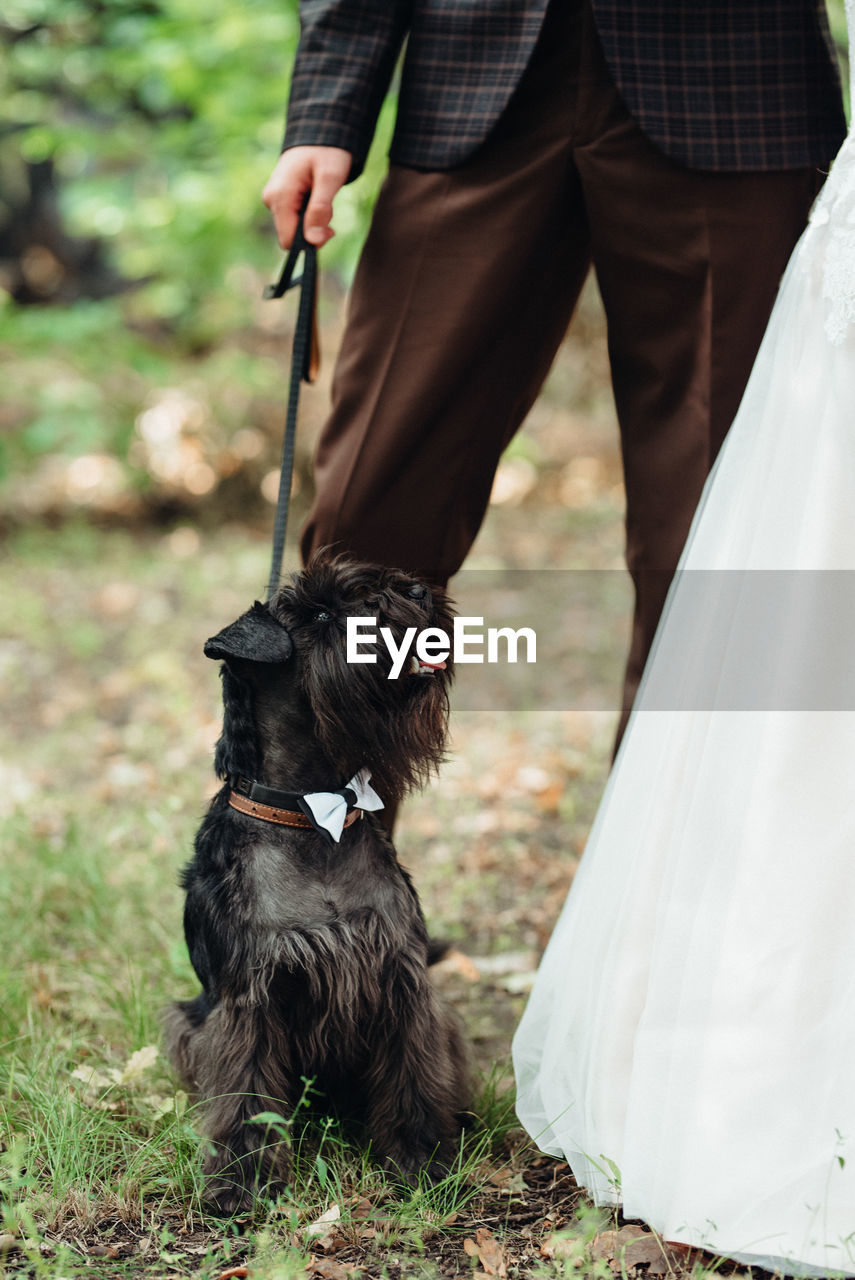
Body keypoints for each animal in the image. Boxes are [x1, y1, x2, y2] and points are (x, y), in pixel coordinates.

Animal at [159, 558, 468, 1208]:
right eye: (322, 615)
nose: (418, 591)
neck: (311, 814)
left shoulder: (402, 980)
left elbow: (413, 1075)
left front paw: (424, 1158)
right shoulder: (249, 1000)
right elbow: (246, 1093)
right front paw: (242, 1181)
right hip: (188, 1022)